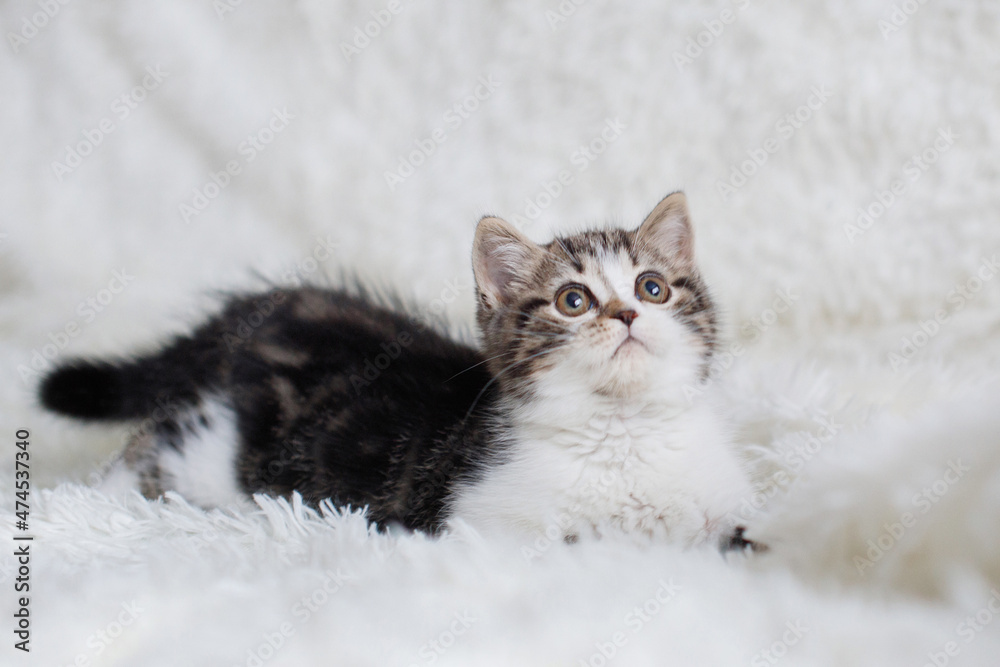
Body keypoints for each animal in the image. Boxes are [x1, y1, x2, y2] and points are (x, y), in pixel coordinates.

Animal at [39, 193, 756, 552]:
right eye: (572, 300)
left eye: (653, 287)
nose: (628, 313)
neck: (623, 427)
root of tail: (265, 307)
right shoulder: (480, 521)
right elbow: (574, 539)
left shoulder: (722, 506)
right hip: (214, 450)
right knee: (156, 444)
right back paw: (93, 501)